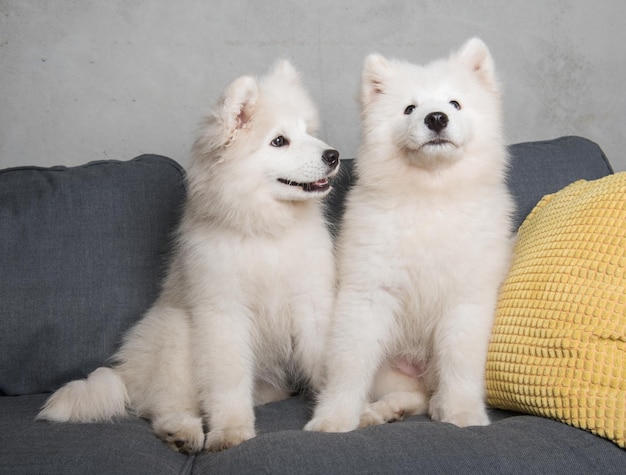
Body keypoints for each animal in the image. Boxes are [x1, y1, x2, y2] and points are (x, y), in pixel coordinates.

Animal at [37, 60, 342, 454]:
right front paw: (230, 432)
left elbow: (325, 357)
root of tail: (125, 372)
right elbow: (228, 383)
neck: (265, 229)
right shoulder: (223, 314)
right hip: (177, 332)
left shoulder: (311, 303)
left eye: (308, 131)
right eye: (279, 141)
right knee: (164, 405)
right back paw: (181, 432)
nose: (333, 155)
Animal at [302, 39, 512, 434]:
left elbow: (460, 364)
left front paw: (464, 414)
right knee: (411, 396)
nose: (436, 118)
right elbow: (349, 365)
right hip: (391, 370)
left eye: (454, 103)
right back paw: (378, 412)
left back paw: (434, 406)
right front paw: (334, 419)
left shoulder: (465, 299)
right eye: (409, 109)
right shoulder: (367, 295)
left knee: (430, 396)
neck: (429, 195)